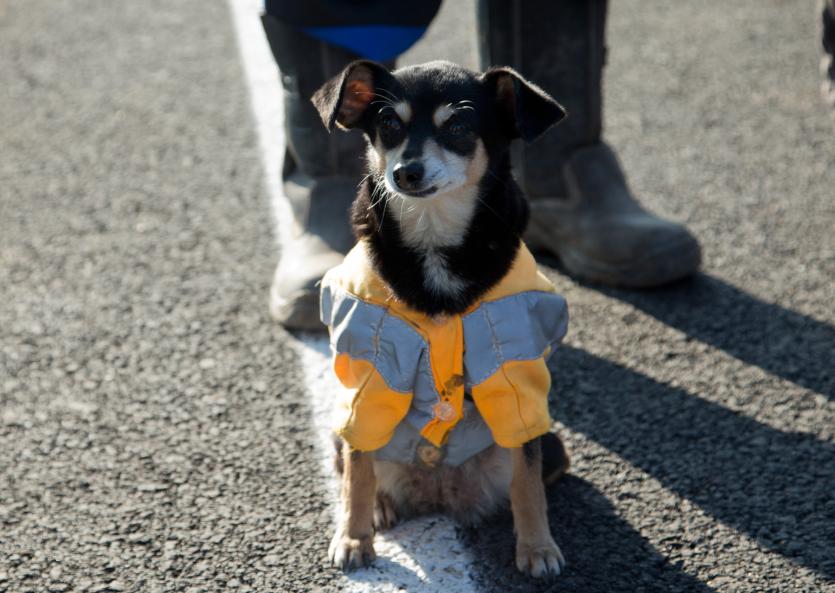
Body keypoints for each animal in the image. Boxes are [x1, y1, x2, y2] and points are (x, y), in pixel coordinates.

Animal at [316, 60, 576, 580]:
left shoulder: (516, 376)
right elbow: (358, 469)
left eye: (458, 127)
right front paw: (353, 536)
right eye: (388, 124)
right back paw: (380, 508)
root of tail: (439, 494)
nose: (405, 171)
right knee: (357, 458)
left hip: (555, 444)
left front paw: (537, 546)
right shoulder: (369, 374)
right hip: (339, 428)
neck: (434, 236)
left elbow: (527, 479)